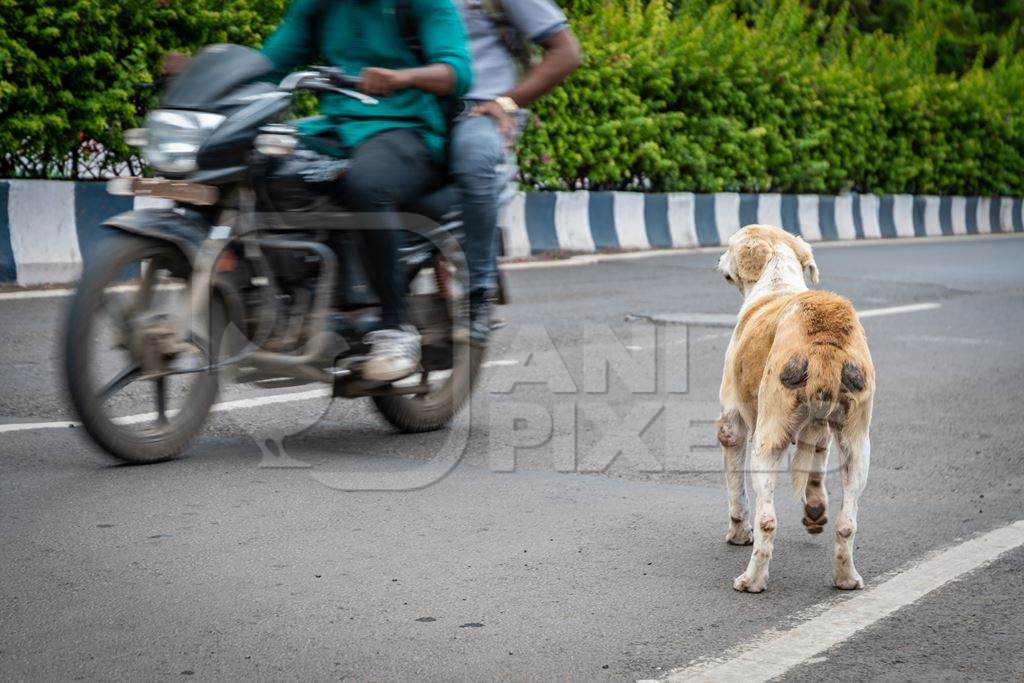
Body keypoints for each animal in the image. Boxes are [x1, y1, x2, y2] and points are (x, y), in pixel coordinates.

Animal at [716, 225, 876, 593]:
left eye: (730, 245)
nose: (717, 258)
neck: (777, 283)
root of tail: (825, 340)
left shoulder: (732, 424)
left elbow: (736, 491)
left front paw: (738, 532)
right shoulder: (822, 433)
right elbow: (815, 465)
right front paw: (815, 508)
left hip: (766, 442)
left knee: (767, 519)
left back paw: (753, 579)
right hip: (858, 446)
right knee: (847, 523)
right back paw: (846, 577)